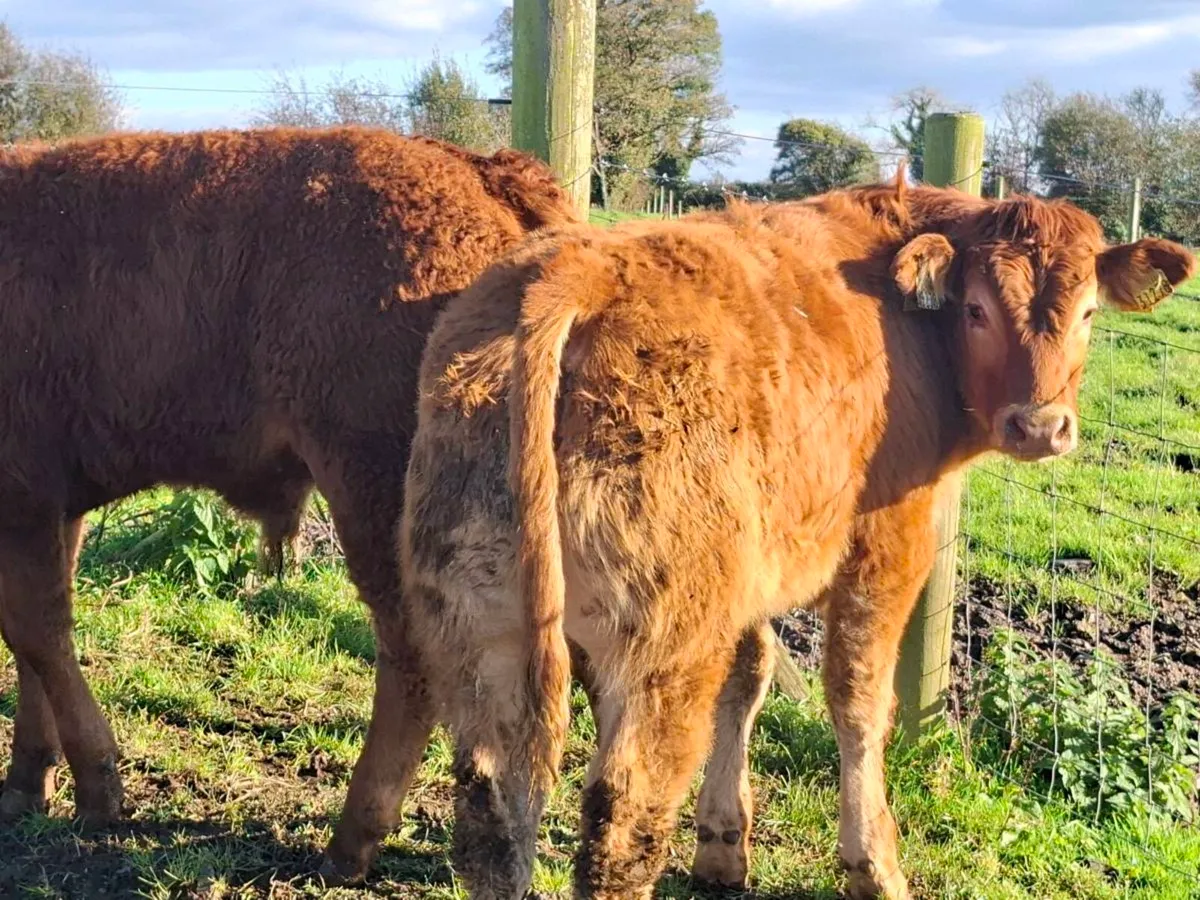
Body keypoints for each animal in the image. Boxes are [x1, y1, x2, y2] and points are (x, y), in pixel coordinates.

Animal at [0, 125, 584, 827]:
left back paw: (352, 836)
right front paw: (28, 781)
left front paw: (96, 791)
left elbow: (38, 634)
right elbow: (33, 642)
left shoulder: (24, 496)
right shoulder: (53, 508)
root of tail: (480, 169)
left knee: (418, 656)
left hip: (378, 496)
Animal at [321, 174, 1195, 898]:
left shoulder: (755, 569)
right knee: (624, 814)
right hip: (664, 644)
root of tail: (574, 273)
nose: (1040, 426)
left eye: (1088, 313)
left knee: (494, 802)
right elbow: (858, 700)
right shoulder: (888, 541)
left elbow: (752, 674)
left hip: (481, 615)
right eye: (978, 309)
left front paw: (723, 844)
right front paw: (873, 863)